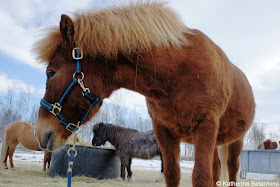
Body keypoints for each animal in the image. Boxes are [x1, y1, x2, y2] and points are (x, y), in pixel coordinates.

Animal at [32, 1, 254, 187]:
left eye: (50, 73)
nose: (40, 133)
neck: (176, 73)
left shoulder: (206, 126)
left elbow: (201, 176)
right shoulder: (164, 132)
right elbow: (172, 175)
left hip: (235, 142)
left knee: (231, 169)